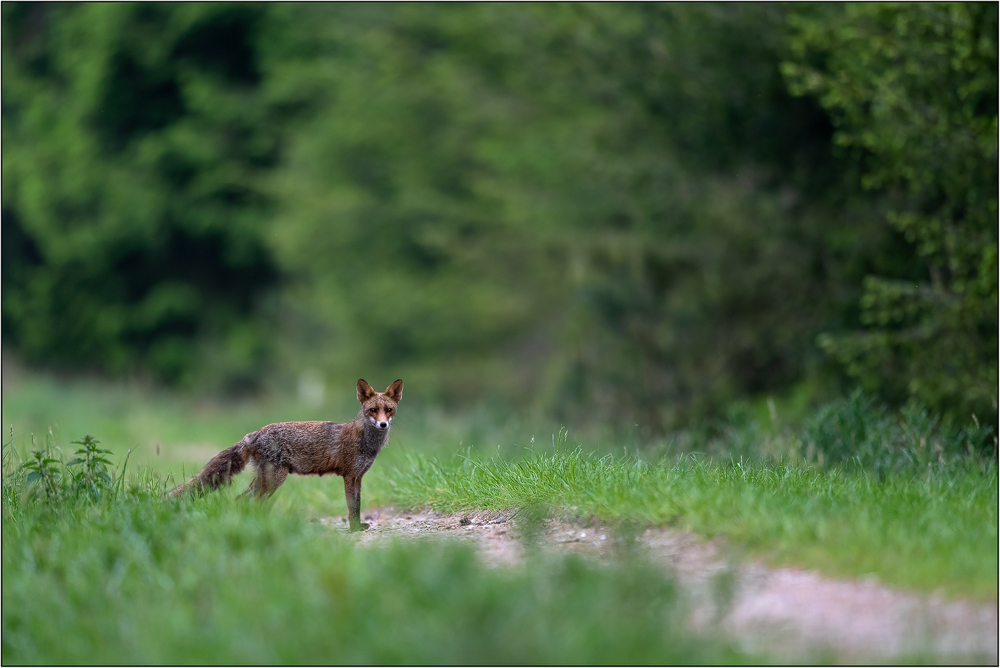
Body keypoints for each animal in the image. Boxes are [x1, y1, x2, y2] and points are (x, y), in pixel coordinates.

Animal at [168, 378, 402, 528]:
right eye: (373, 410)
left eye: (388, 410)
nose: (383, 424)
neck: (366, 442)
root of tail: (253, 434)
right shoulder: (350, 476)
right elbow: (352, 508)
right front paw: (354, 529)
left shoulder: (358, 477)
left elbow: (358, 505)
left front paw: (358, 525)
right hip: (274, 479)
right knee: (251, 501)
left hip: (264, 480)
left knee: (241, 499)